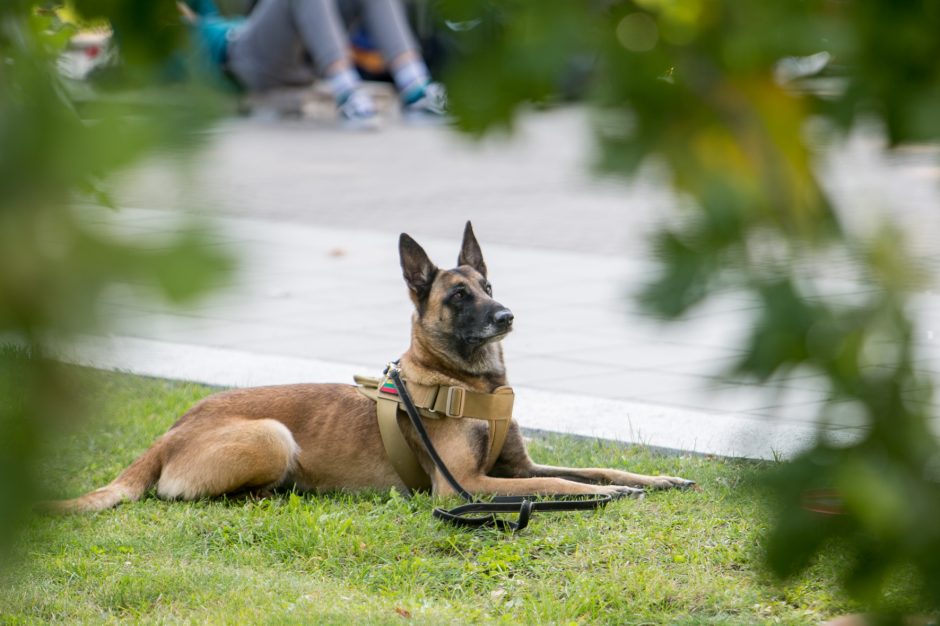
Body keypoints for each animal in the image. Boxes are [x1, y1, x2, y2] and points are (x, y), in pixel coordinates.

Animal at [47, 219, 692, 512]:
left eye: (488, 286)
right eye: (459, 296)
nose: (507, 316)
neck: (465, 381)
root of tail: (168, 432)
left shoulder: (513, 466)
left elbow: (598, 468)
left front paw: (655, 480)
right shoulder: (470, 484)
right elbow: (555, 484)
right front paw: (605, 496)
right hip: (273, 436)